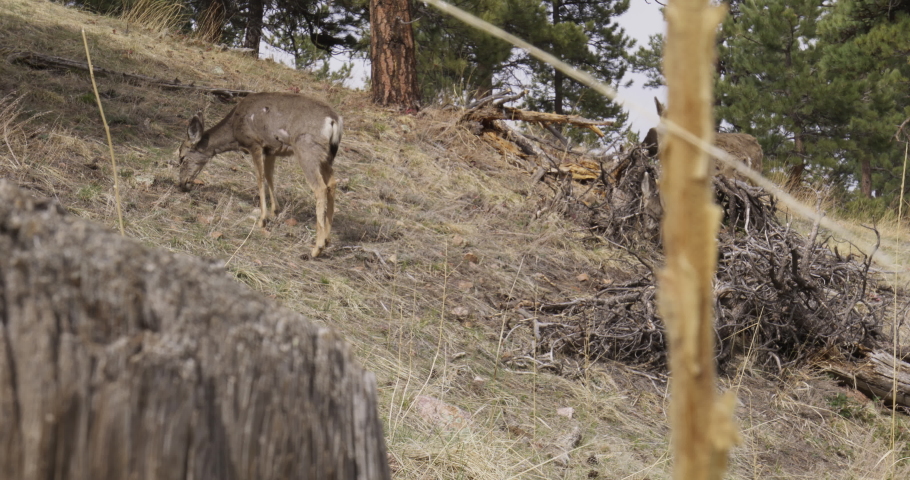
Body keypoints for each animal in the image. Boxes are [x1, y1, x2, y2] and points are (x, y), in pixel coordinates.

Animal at [177, 92, 343, 258]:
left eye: (182, 158)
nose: (182, 184)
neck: (234, 129)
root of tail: (334, 120)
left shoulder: (254, 143)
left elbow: (259, 178)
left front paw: (262, 219)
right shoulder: (271, 149)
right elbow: (269, 176)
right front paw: (275, 211)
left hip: (307, 149)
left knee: (320, 187)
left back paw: (317, 248)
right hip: (326, 157)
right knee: (332, 183)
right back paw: (327, 240)